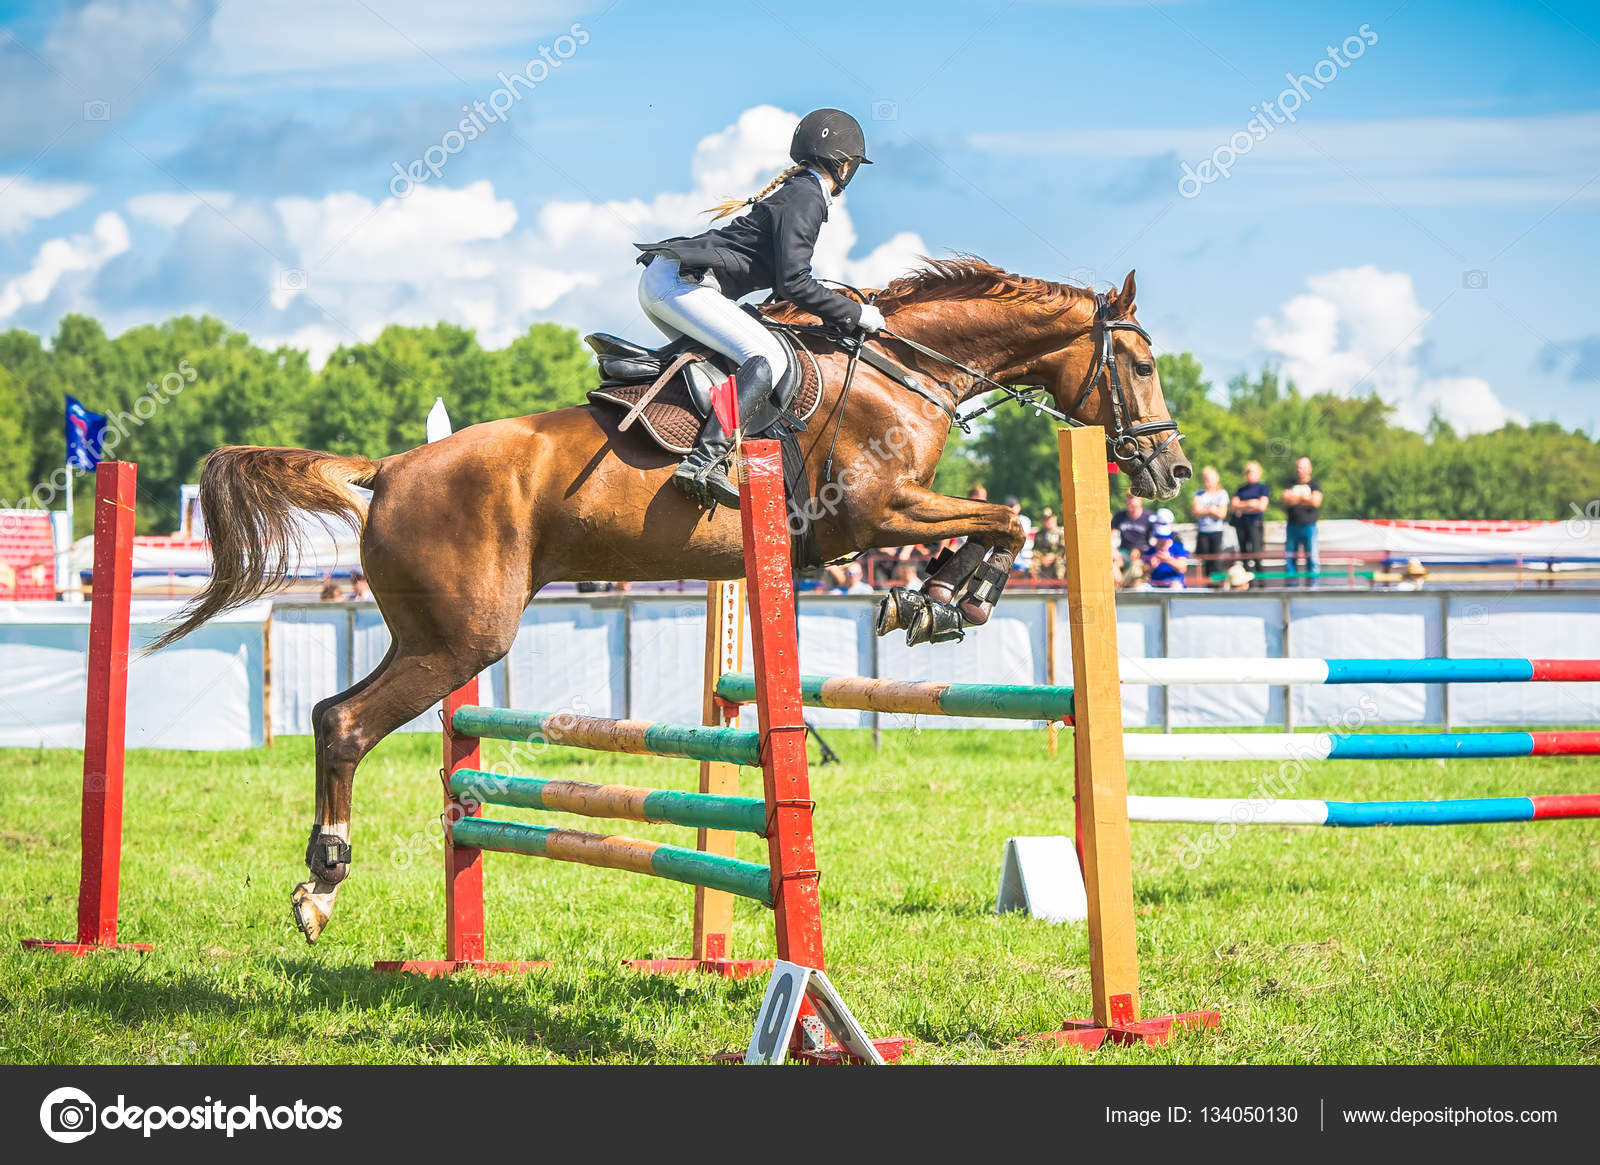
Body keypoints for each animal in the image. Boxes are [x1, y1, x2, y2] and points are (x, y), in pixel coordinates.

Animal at [152, 259, 1190, 940]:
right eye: (1140, 366)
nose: (1172, 469)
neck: (908, 368)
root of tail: (390, 466)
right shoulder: (871, 513)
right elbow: (1007, 517)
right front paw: (944, 599)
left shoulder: (885, 516)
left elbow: (997, 520)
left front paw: (940, 597)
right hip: (462, 639)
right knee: (345, 723)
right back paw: (321, 886)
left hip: (428, 634)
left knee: (339, 713)